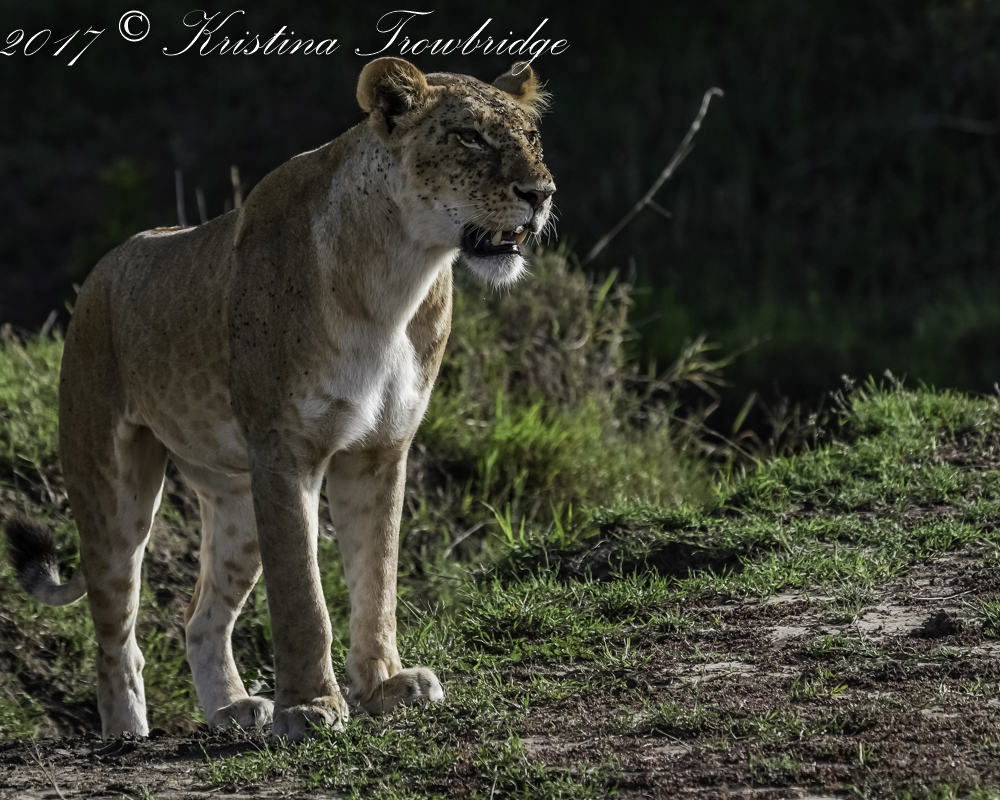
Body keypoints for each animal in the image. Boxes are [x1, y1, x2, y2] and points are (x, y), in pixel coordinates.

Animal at [4, 56, 555, 741]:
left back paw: (233, 710)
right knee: (116, 631)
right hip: (113, 486)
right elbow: (303, 597)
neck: (398, 274)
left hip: (238, 500)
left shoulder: (380, 450)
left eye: (531, 138)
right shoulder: (284, 449)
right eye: (470, 138)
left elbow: (377, 577)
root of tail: (104, 269)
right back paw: (127, 732)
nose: (541, 193)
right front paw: (312, 708)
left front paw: (384, 686)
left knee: (201, 617)